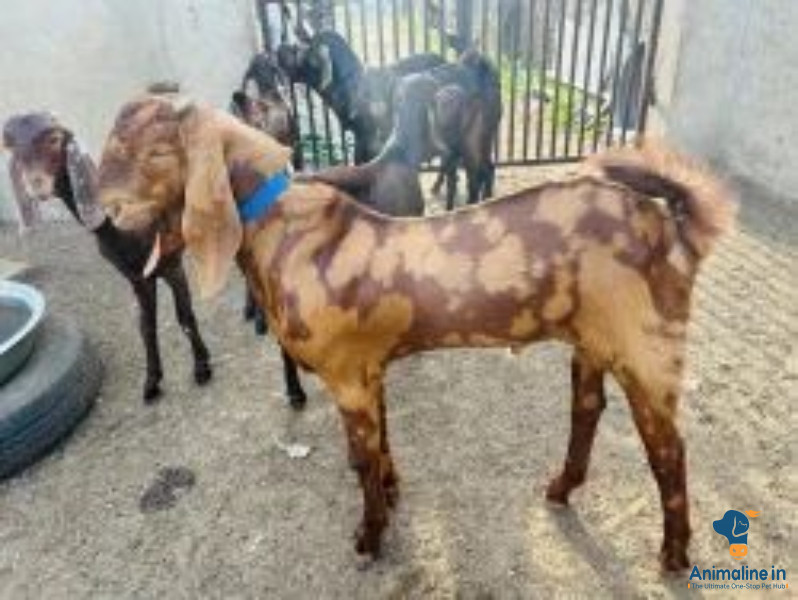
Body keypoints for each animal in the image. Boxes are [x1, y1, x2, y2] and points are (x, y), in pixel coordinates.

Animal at [3, 112, 212, 403]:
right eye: (11, 147)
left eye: (55, 139)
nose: (36, 185)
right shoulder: (137, 278)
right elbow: (146, 327)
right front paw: (151, 382)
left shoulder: (171, 265)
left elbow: (185, 317)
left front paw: (202, 368)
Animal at [97, 95, 735, 571]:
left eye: (157, 151)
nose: (108, 214)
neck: (282, 230)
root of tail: (676, 230)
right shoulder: (368, 371)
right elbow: (381, 444)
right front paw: (393, 492)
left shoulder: (346, 378)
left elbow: (360, 461)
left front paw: (369, 538)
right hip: (592, 342)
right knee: (588, 410)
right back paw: (559, 488)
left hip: (648, 349)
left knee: (668, 450)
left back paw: (675, 554)